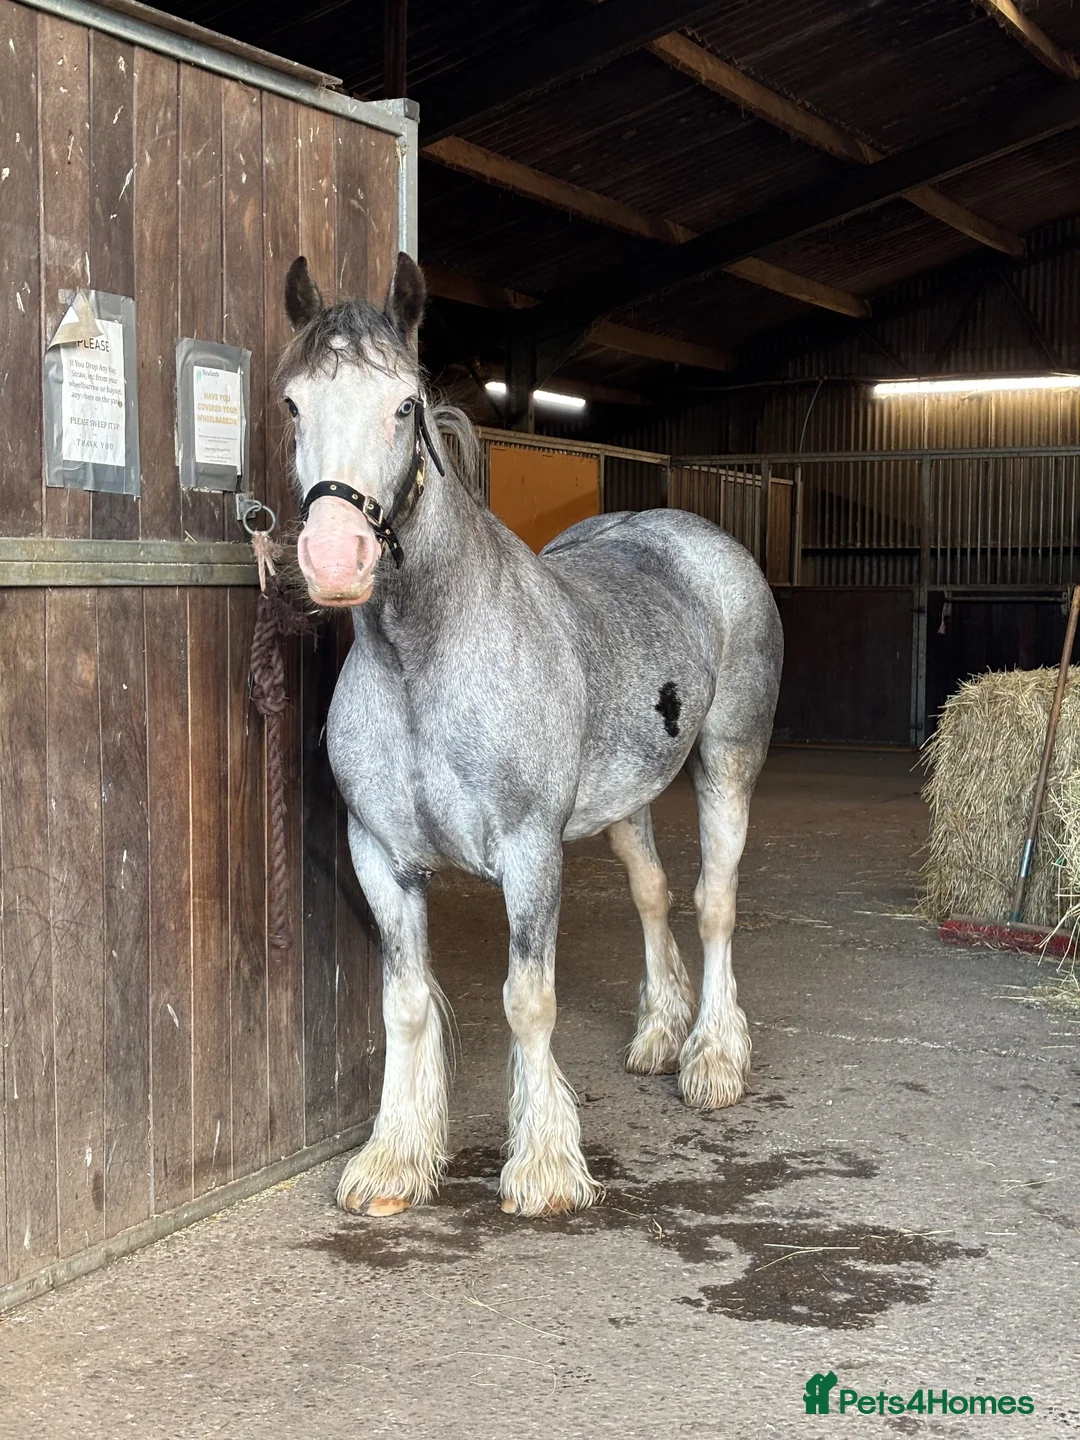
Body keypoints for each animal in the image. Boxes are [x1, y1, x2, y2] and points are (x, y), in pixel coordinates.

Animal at [278, 252, 783, 1218]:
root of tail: (691, 533)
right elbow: (405, 1004)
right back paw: (660, 1033)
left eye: (404, 404)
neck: (423, 664)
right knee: (655, 893)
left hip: (729, 762)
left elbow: (528, 1002)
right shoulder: (381, 857)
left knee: (715, 902)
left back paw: (711, 1059)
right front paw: (392, 1161)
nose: (334, 560)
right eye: (292, 403)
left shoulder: (529, 852)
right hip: (624, 800)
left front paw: (544, 1168)